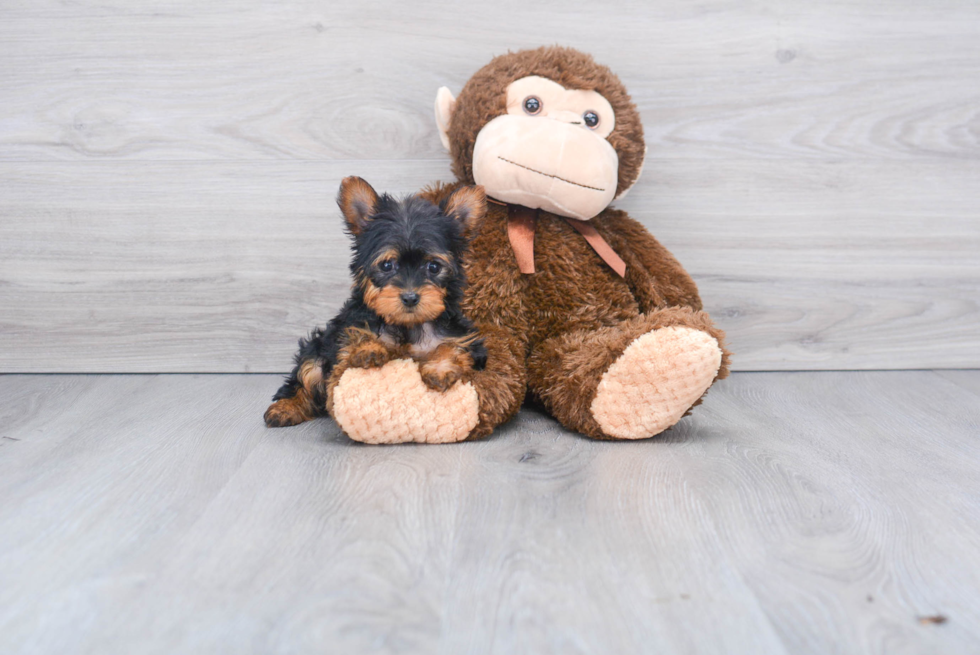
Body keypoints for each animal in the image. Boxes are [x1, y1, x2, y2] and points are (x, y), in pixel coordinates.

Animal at [264, 177, 486, 428]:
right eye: (387, 265)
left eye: (434, 267)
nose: (410, 297)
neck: (407, 325)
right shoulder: (346, 327)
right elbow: (357, 333)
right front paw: (368, 349)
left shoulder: (464, 338)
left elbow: (453, 346)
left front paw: (440, 369)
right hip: (316, 349)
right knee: (306, 374)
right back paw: (285, 407)